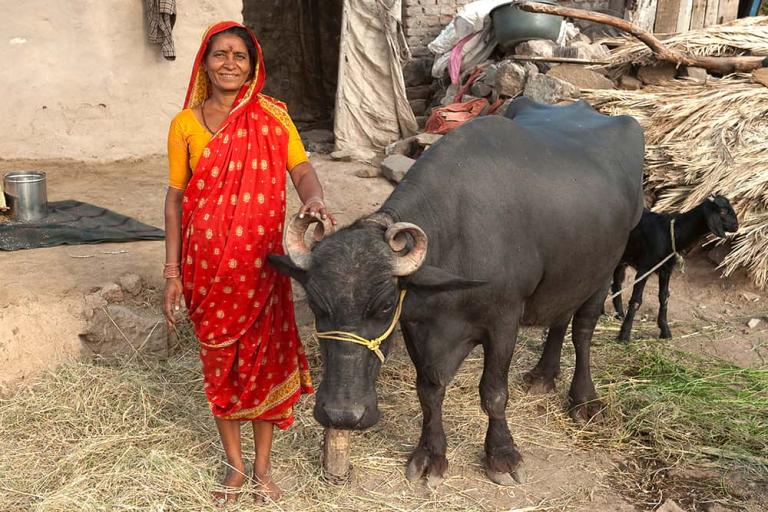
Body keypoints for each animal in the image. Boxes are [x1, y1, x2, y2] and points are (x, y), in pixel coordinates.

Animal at [268, 98, 640, 486]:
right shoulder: (419, 327)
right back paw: (543, 376)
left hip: (603, 271)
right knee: (560, 317)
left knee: (582, 330)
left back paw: (584, 400)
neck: (459, 236)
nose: (341, 414)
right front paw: (431, 454)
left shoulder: (504, 321)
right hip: (566, 274)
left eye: (385, 306)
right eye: (316, 303)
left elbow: (494, 392)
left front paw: (502, 455)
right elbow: (429, 390)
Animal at [612, 196, 736, 344]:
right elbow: (636, 300)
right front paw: (624, 335)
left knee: (615, 282)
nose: (736, 225)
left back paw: (618, 313)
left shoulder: (666, 269)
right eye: (722, 211)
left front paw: (665, 330)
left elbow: (664, 297)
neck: (670, 233)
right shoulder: (645, 267)